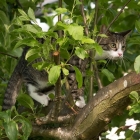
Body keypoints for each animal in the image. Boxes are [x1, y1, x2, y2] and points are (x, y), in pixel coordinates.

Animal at [1, 25, 131, 110]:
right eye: (113, 45)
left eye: (123, 47)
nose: (120, 54)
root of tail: (21, 58)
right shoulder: (72, 67)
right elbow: (73, 83)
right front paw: (75, 99)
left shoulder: (82, 72)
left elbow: (80, 85)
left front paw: (80, 100)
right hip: (37, 71)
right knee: (30, 87)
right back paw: (42, 98)